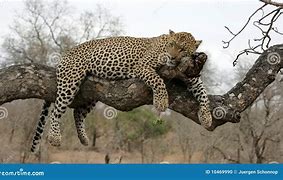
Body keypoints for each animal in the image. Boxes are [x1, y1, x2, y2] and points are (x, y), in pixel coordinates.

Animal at [31, 30, 213, 153]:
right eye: (172, 45)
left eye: (182, 49)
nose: (172, 57)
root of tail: (64, 54)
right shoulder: (143, 66)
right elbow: (158, 81)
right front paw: (161, 102)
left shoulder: (192, 76)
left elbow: (204, 94)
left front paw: (207, 118)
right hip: (71, 80)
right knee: (56, 110)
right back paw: (54, 137)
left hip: (92, 92)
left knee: (77, 113)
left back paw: (84, 139)